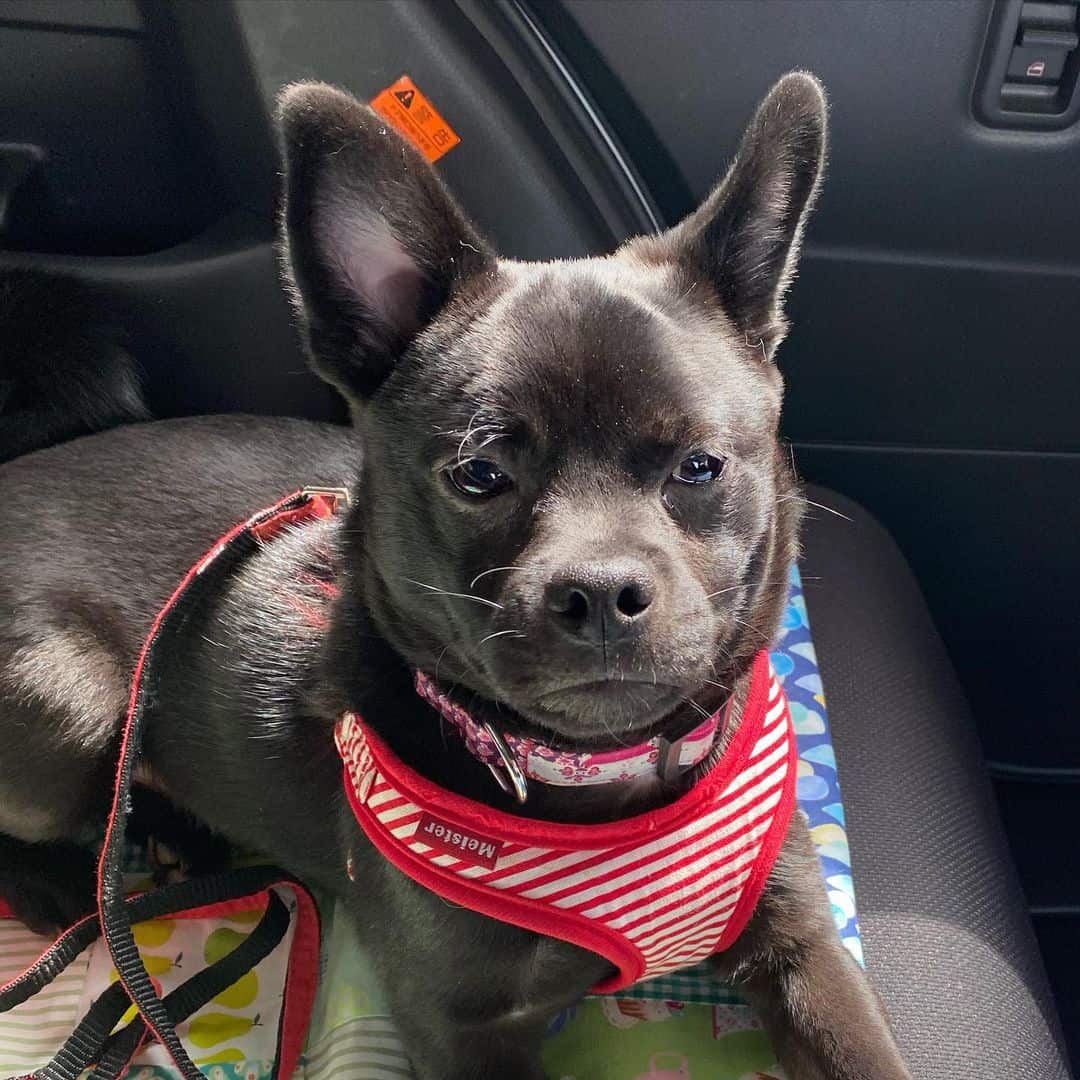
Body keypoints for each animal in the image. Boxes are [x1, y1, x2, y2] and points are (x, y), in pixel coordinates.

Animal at [0, 76, 911, 1080]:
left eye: (701, 467)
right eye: (477, 474)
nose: (602, 594)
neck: (600, 784)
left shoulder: (804, 949)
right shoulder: (464, 1032)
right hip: (71, 704)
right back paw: (65, 878)